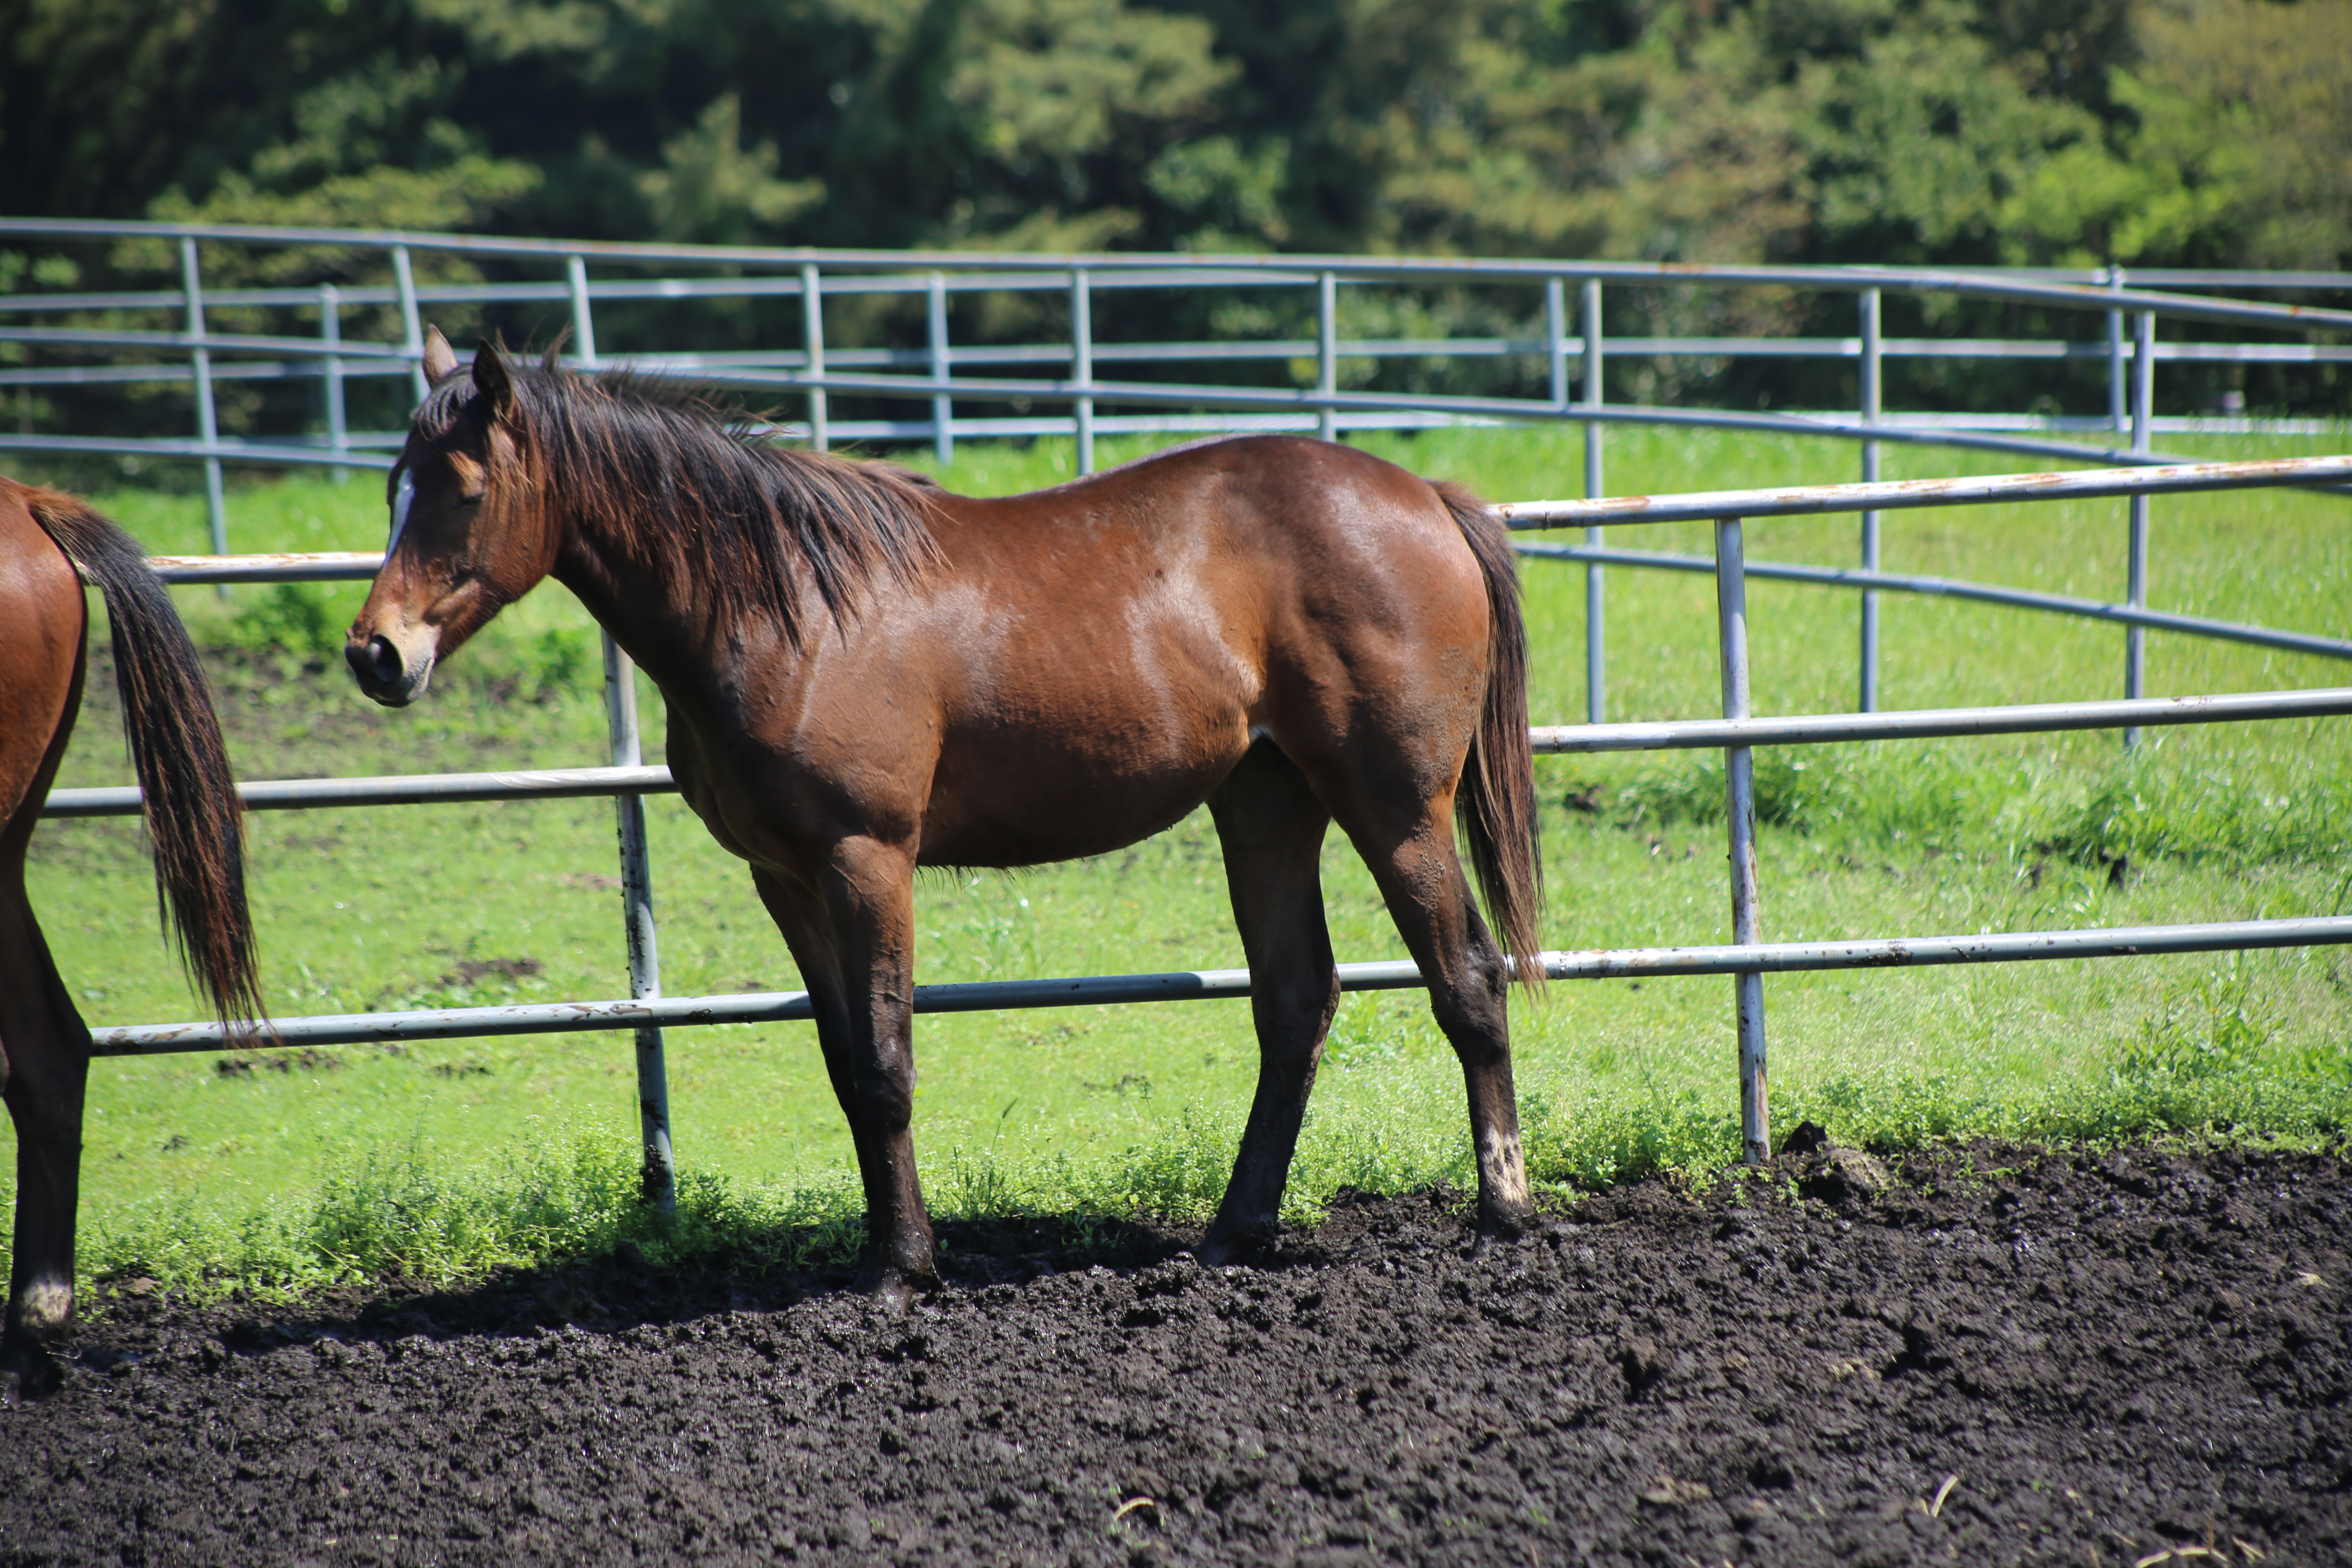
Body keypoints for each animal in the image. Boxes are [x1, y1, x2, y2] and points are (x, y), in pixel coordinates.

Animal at [348, 334, 1552, 1297]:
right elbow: (845, 1066)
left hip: (1394, 807)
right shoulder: (784, 876)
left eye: (462, 489)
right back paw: (1232, 1233)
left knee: (1466, 980)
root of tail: (1425, 497)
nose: (376, 654)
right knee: (1295, 1002)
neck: (786, 607)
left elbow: (887, 1063)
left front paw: (903, 1269)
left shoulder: (866, 858)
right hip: (1265, 805)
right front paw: (880, 1251)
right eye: (392, 485)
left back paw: (1502, 1216)